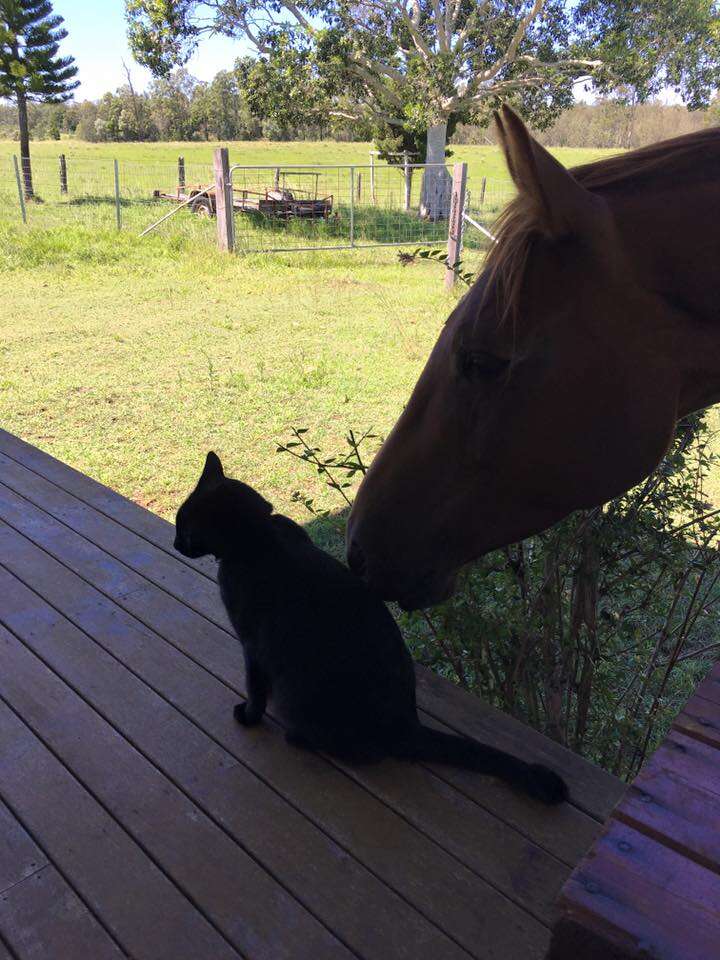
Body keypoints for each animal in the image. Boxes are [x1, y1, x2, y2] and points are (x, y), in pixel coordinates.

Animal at [174, 452, 568, 804]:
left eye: (182, 525)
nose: (175, 543)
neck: (258, 536)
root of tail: (408, 724)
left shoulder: (252, 644)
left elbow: (254, 688)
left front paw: (248, 717)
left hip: (298, 694)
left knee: (361, 752)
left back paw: (299, 738)